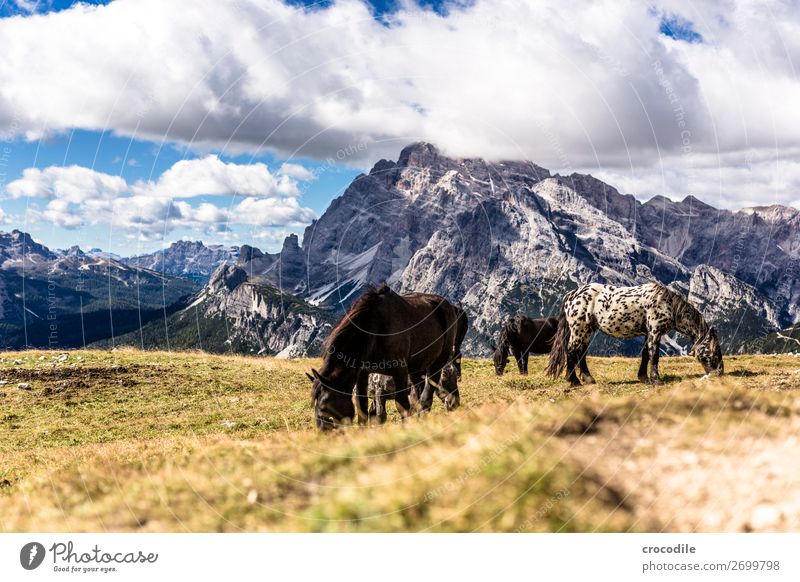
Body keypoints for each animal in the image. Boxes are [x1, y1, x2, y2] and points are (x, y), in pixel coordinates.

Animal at [308, 286, 460, 432]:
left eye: (323, 407)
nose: (323, 432)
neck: (376, 329)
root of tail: (448, 305)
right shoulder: (363, 373)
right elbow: (362, 407)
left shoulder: (399, 371)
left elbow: (402, 405)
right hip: (417, 368)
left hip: (438, 362)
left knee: (425, 397)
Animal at [548, 284, 720, 388]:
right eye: (714, 351)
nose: (719, 373)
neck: (668, 304)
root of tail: (571, 295)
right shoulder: (655, 332)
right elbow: (654, 355)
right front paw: (656, 380)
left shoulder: (648, 333)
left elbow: (645, 354)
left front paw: (644, 377)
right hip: (579, 329)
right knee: (571, 351)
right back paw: (573, 381)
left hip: (587, 330)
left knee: (581, 353)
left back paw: (588, 379)